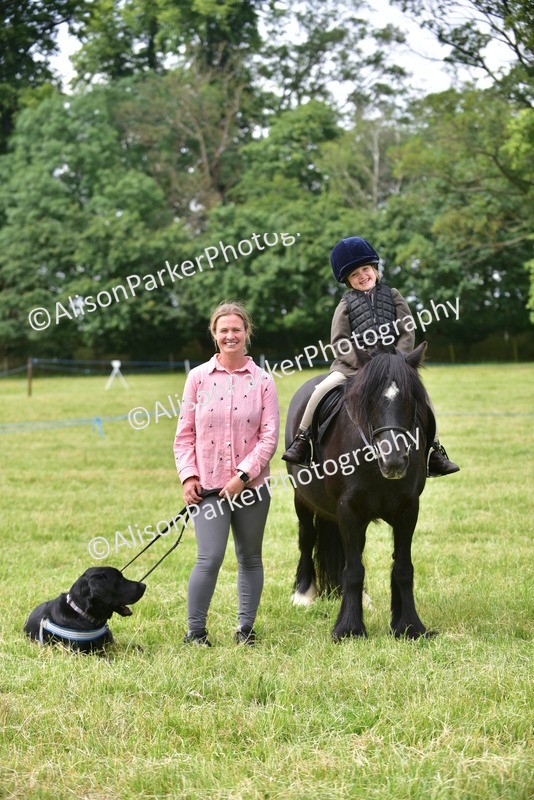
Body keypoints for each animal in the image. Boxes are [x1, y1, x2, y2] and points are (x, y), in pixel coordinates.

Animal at [285, 341, 436, 640]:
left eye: (412, 399)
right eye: (369, 400)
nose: (394, 461)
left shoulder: (408, 510)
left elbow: (403, 569)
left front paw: (409, 626)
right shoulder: (348, 510)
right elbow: (353, 570)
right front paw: (349, 629)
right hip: (302, 500)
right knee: (307, 538)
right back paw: (303, 595)